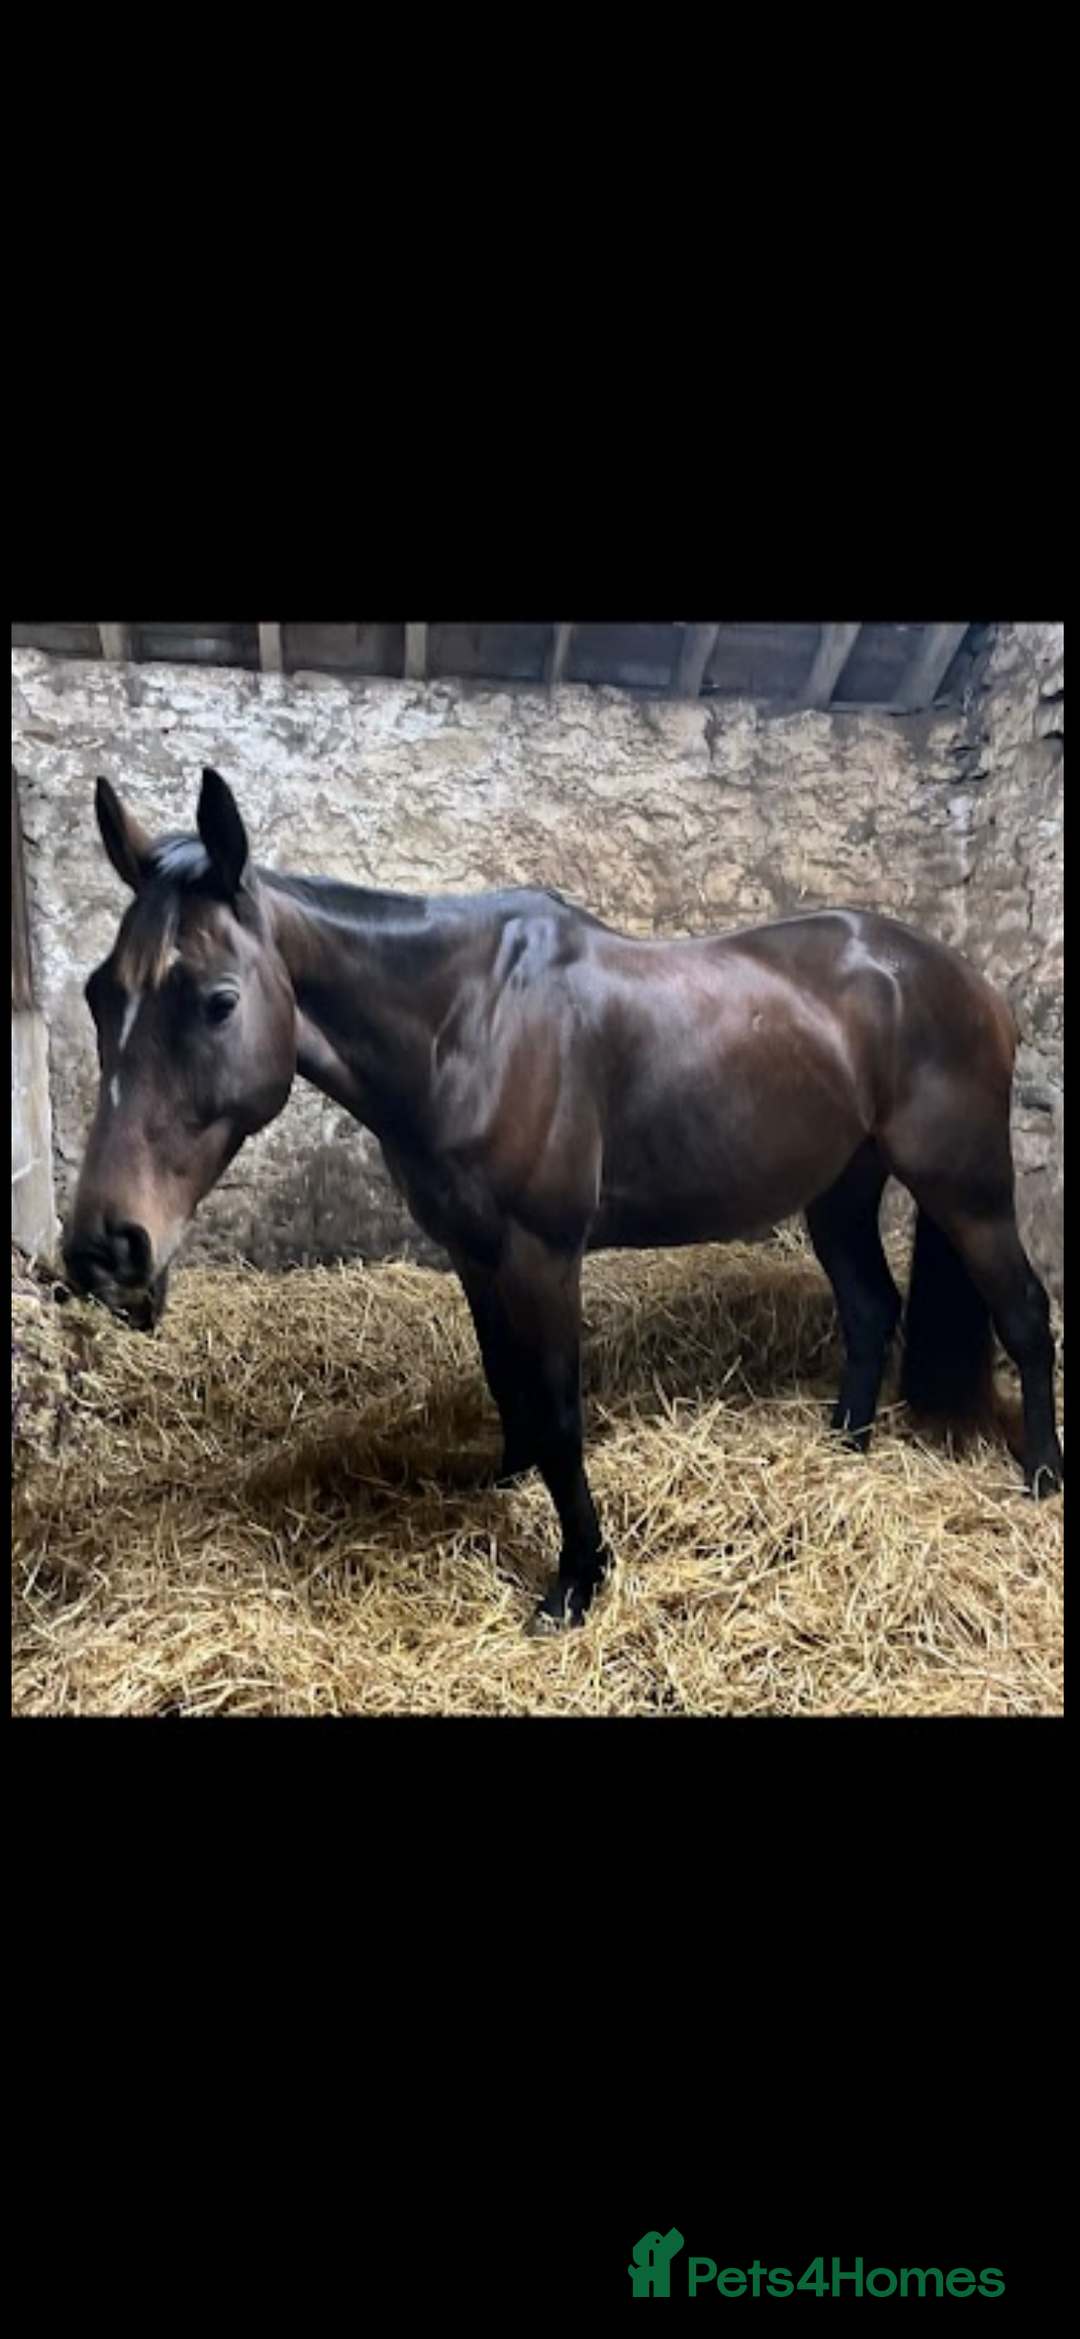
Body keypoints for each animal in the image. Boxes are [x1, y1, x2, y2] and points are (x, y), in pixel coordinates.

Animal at [62, 768, 1063, 1632]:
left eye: (217, 1001)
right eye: (99, 992)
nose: (105, 1245)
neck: (468, 1023)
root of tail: (973, 985)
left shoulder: (541, 1253)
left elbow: (556, 1406)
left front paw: (579, 1578)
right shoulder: (473, 1250)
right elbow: (507, 1380)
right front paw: (509, 1482)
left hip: (967, 1187)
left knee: (1022, 1313)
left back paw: (1041, 1475)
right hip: (843, 1187)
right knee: (871, 1306)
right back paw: (843, 1446)